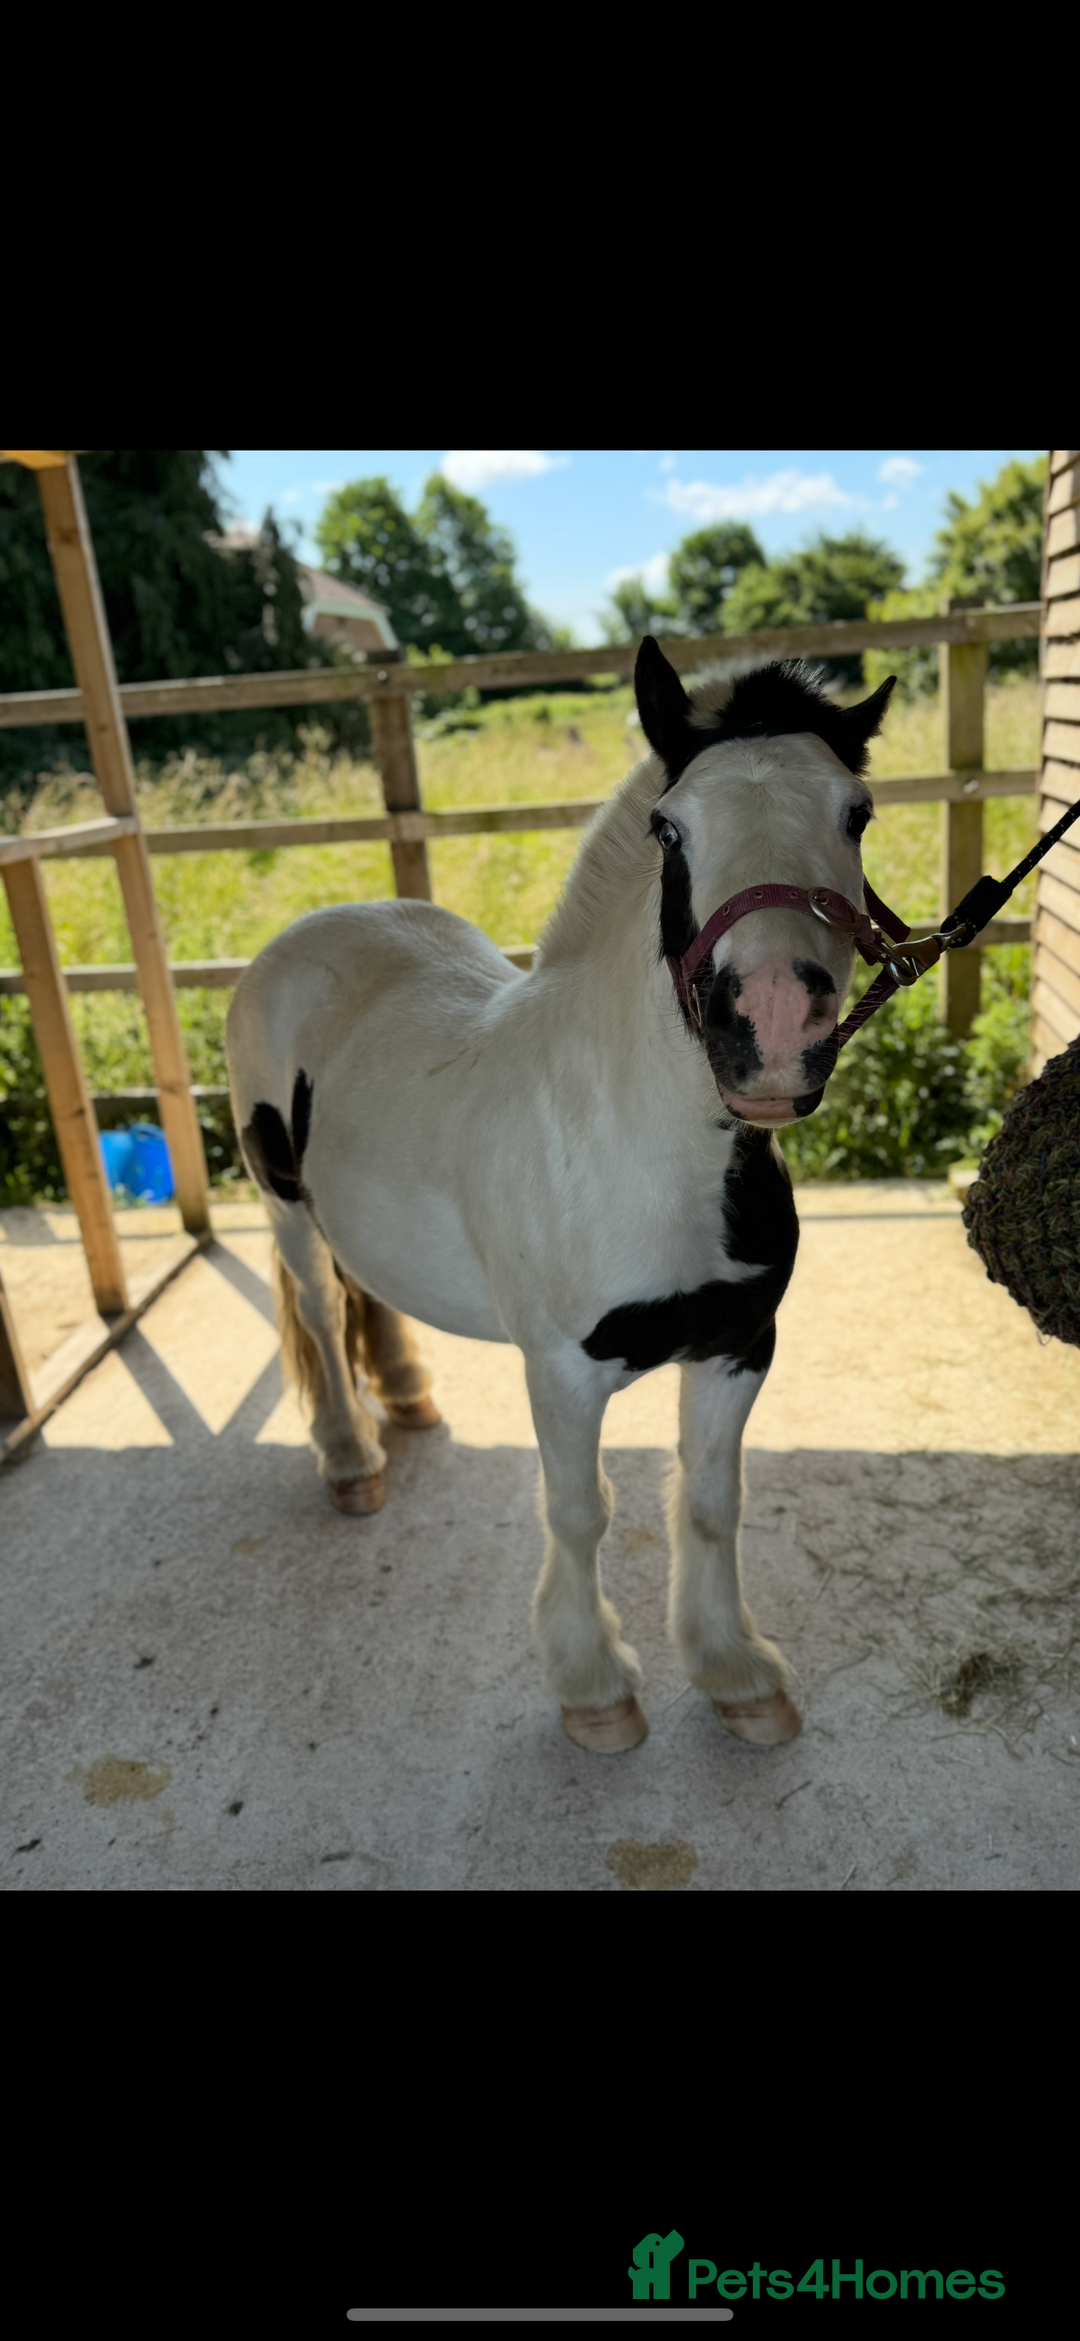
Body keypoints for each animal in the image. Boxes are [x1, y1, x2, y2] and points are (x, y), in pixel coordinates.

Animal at [225, 639, 895, 1754]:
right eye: (670, 825)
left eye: (857, 812)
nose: (770, 1023)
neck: (635, 1144)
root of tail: (306, 934)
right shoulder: (564, 1371)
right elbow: (580, 1513)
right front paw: (594, 1690)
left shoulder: (738, 1345)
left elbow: (711, 1501)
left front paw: (735, 1673)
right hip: (283, 1205)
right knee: (321, 1309)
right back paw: (352, 1459)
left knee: (367, 1296)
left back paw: (407, 1397)